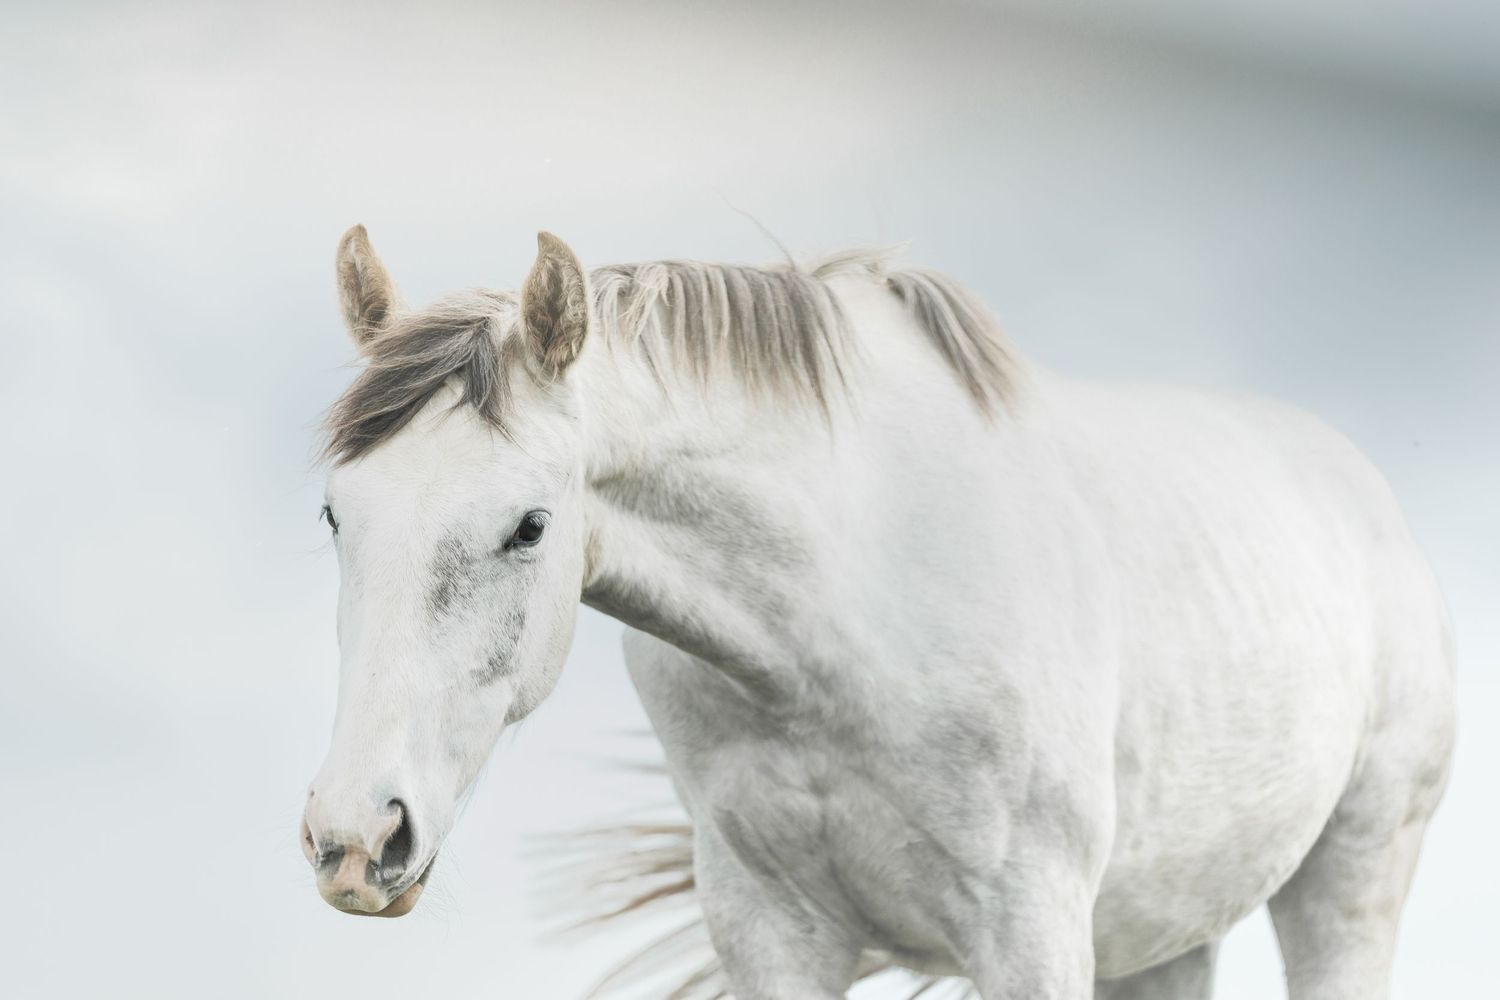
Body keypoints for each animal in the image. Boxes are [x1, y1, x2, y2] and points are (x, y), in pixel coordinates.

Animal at [300, 225, 1455, 1000]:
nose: (355, 840)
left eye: (530, 526)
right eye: (334, 513)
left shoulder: (1031, 930)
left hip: (1349, 880)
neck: (840, 623)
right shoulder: (769, 931)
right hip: (1169, 933)